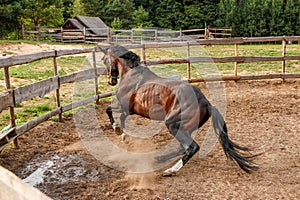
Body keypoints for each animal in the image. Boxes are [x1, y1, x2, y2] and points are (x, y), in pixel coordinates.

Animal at [100, 44, 258, 176]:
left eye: (104, 60)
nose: (110, 81)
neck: (131, 74)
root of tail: (206, 103)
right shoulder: (130, 110)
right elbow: (121, 117)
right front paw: (123, 135)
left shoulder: (124, 105)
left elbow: (109, 110)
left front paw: (117, 130)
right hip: (184, 128)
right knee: (183, 148)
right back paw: (160, 158)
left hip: (172, 124)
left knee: (192, 147)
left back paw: (170, 170)